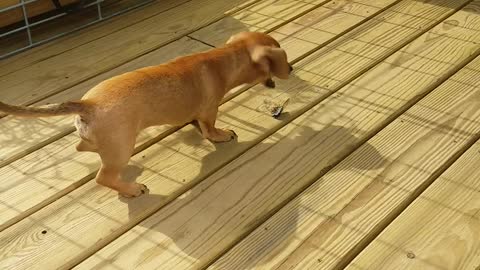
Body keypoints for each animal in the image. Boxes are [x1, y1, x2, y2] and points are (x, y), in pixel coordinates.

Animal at [0, 31, 292, 197]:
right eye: (284, 59)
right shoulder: (210, 110)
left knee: (82, 147)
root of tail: (88, 104)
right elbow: (210, 129)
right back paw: (132, 189)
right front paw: (222, 135)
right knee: (103, 177)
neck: (223, 59)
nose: (290, 69)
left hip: (107, 143)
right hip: (122, 146)